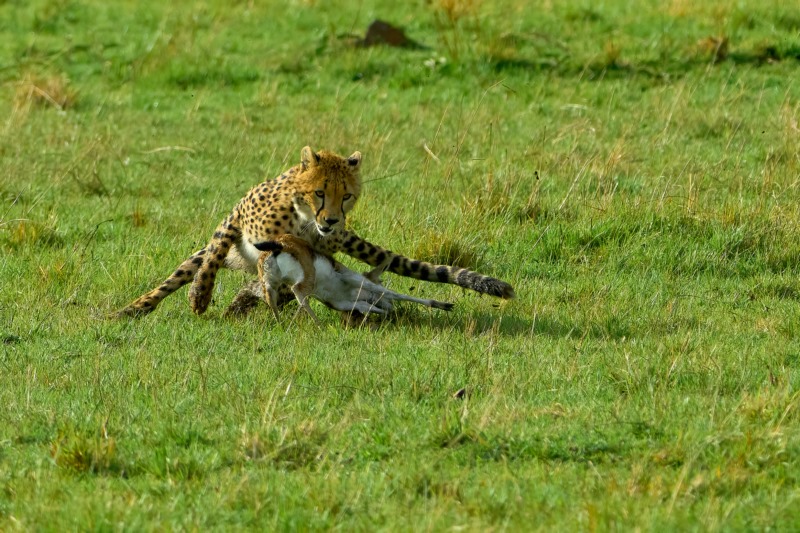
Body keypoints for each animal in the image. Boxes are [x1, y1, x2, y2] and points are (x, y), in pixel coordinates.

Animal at [256, 233, 456, 324]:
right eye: (380, 279)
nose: (391, 307)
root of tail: (278, 245)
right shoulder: (358, 280)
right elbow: (396, 293)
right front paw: (445, 305)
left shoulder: (349, 304)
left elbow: (373, 309)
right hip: (306, 278)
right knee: (298, 291)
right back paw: (318, 324)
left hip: (270, 285)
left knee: (272, 300)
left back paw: (282, 323)